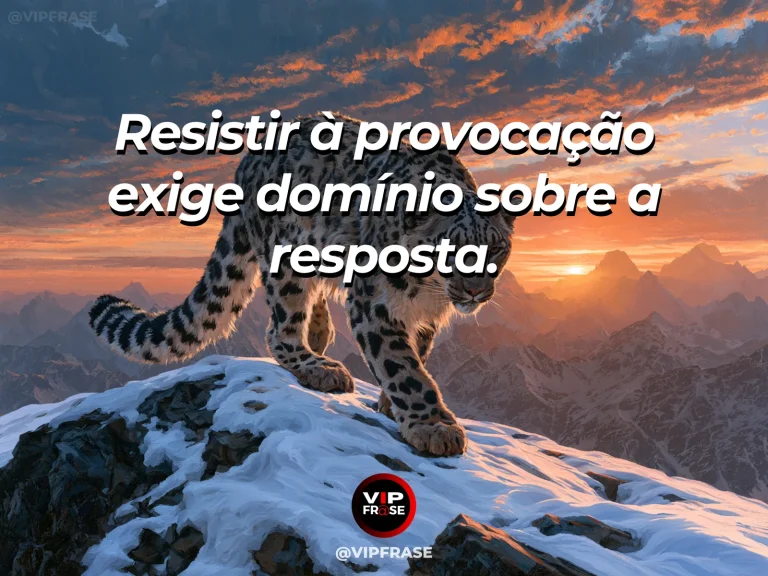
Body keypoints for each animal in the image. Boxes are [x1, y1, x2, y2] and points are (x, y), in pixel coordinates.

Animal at [89, 113, 516, 457]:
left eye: (495, 248)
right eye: (450, 247)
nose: (476, 290)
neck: (427, 292)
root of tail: (247, 161)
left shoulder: (424, 318)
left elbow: (417, 355)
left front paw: (391, 406)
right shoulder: (374, 304)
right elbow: (403, 367)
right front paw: (434, 427)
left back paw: (320, 335)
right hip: (284, 259)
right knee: (279, 329)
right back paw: (317, 365)